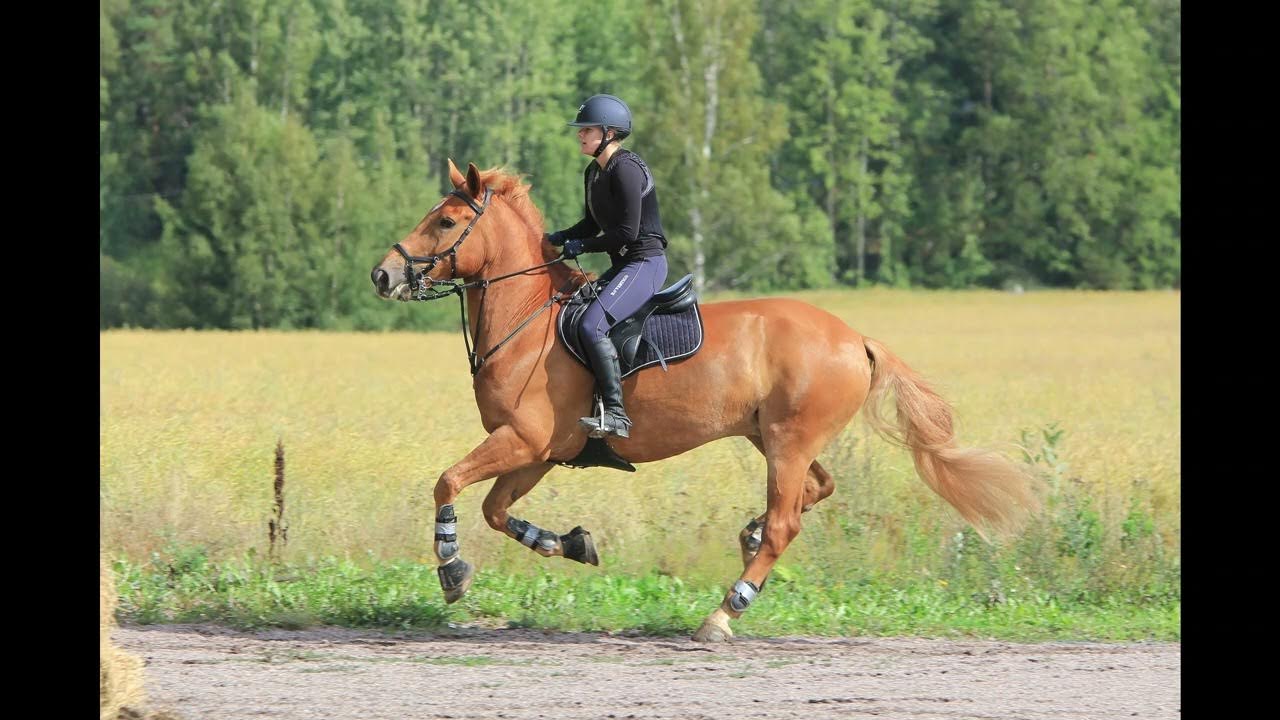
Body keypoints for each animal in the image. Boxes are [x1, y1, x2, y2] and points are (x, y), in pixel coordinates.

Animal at [370, 160, 1042, 642]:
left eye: (446, 222)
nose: (383, 275)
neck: (527, 319)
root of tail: (855, 338)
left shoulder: (523, 440)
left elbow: (448, 482)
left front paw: (451, 569)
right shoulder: (540, 451)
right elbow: (494, 510)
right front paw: (571, 544)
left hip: (789, 440)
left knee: (787, 521)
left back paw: (725, 612)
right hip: (773, 437)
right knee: (813, 491)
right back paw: (747, 536)